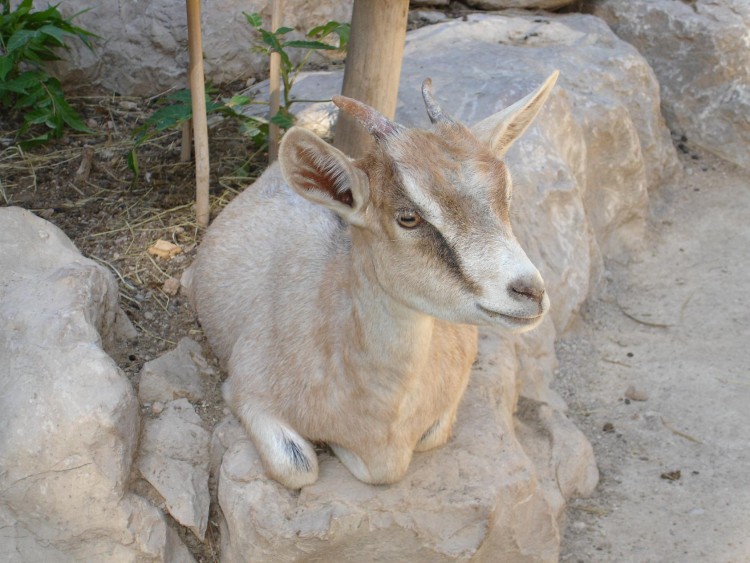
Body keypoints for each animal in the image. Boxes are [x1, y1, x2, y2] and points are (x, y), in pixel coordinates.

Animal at [191, 72, 560, 490]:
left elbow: (432, 436)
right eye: (408, 217)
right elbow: (298, 467)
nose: (530, 291)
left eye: (506, 195)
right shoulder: (245, 389)